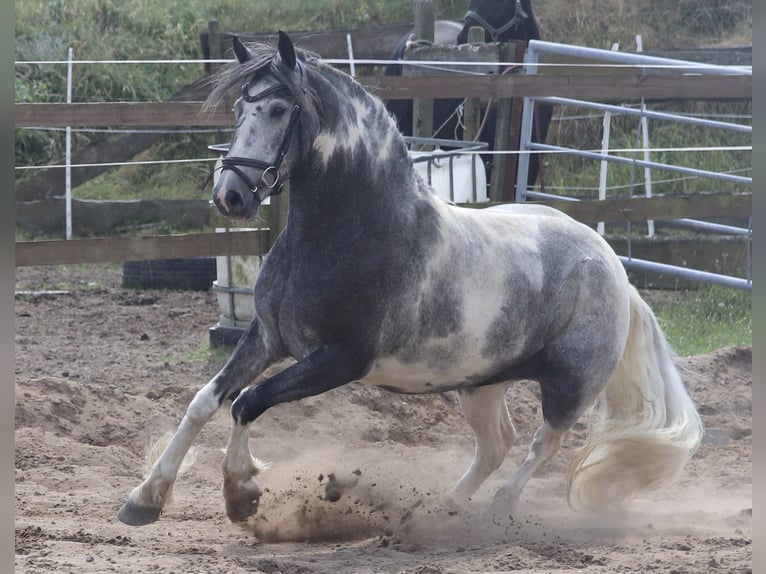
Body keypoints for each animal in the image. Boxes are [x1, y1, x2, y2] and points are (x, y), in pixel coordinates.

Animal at [118, 30, 704, 528]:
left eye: (280, 109)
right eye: (240, 107)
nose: (230, 196)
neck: (344, 234)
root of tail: (613, 268)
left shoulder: (340, 360)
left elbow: (247, 403)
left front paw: (241, 494)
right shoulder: (267, 337)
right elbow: (205, 401)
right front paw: (144, 499)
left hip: (569, 384)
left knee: (545, 445)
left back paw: (497, 509)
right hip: (481, 381)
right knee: (497, 444)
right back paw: (444, 509)